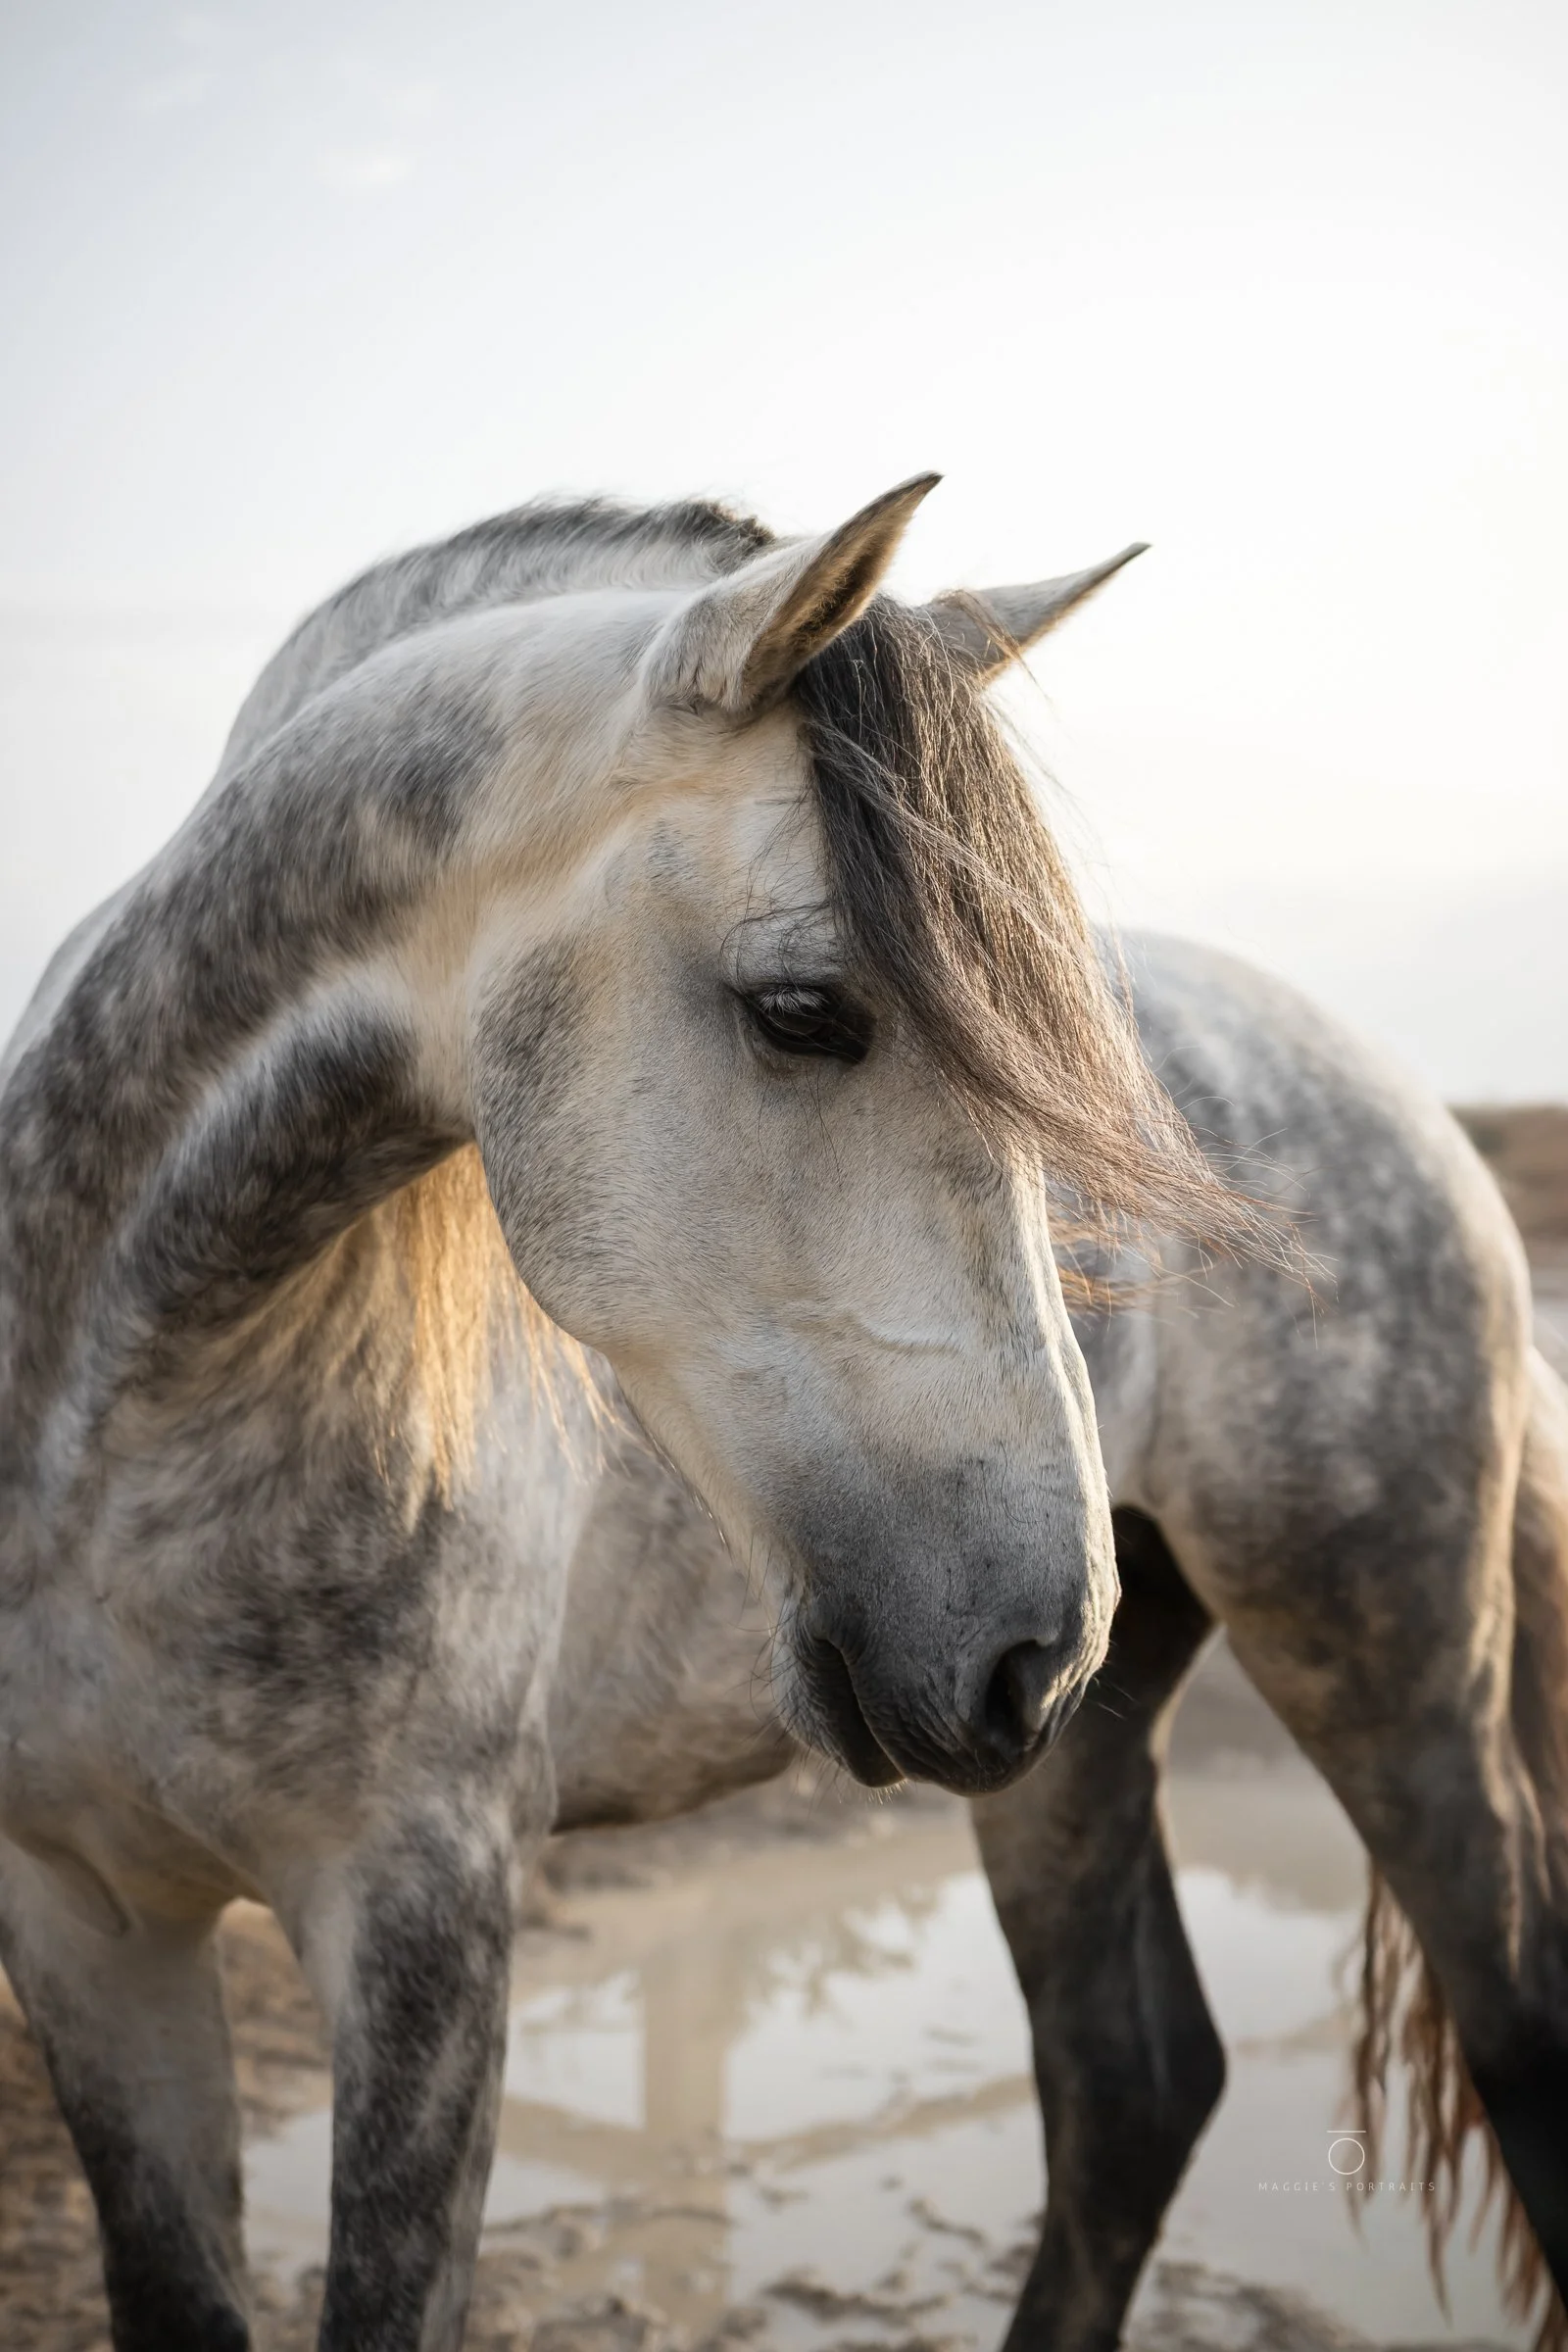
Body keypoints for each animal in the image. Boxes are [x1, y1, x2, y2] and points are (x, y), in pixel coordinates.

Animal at [0, 481, 1251, 2352]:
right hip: (1083, 1770)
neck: (123, 1424)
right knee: (1131, 2085)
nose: (1045, 1642)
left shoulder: (423, 1914)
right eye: (804, 1012)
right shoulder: (82, 1915)